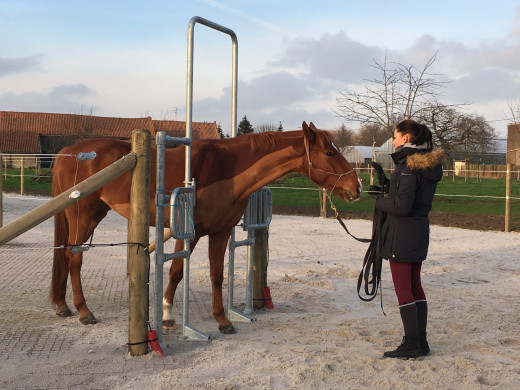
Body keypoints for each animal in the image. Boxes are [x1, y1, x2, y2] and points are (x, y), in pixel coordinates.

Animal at [51, 121, 362, 332]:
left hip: (94, 215)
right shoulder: (189, 231)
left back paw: (63, 305)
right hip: (82, 215)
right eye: (329, 153)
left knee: (66, 257)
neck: (227, 170)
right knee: (73, 258)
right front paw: (167, 316)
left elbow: (217, 275)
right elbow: (176, 271)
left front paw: (223, 320)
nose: (357, 187)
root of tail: (68, 151)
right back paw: (84, 311)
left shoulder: (220, 232)